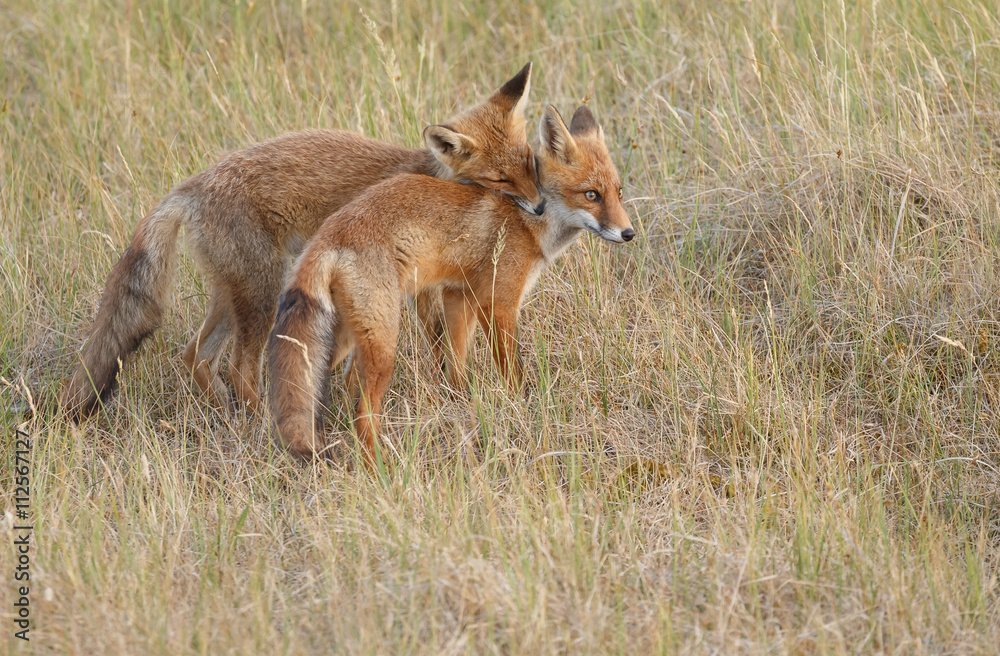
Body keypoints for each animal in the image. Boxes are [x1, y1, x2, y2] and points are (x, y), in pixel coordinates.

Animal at [58, 62, 544, 420]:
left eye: (531, 163)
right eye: (500, 179)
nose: (541, 207)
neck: (435, 176)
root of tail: (190, 187)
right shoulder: (420, 285)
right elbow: (441, 346)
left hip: (233, 295)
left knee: (194, 355)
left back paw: (227, 418)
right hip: (262, 293)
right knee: (239, 369)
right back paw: (259, 425)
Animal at [268, 105, 632, 462]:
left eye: (618, 192)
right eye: (591, 195)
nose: (628, 233)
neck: (529, 221)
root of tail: (329, 234)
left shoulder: (460, 297)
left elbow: (455, 362)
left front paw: (458, 404)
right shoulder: (498, 304)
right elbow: (511, 372)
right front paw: (520, 409)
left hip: (346, 337)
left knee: (327, 383)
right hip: (384, 343)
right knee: (362, 410)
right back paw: (378, 466)